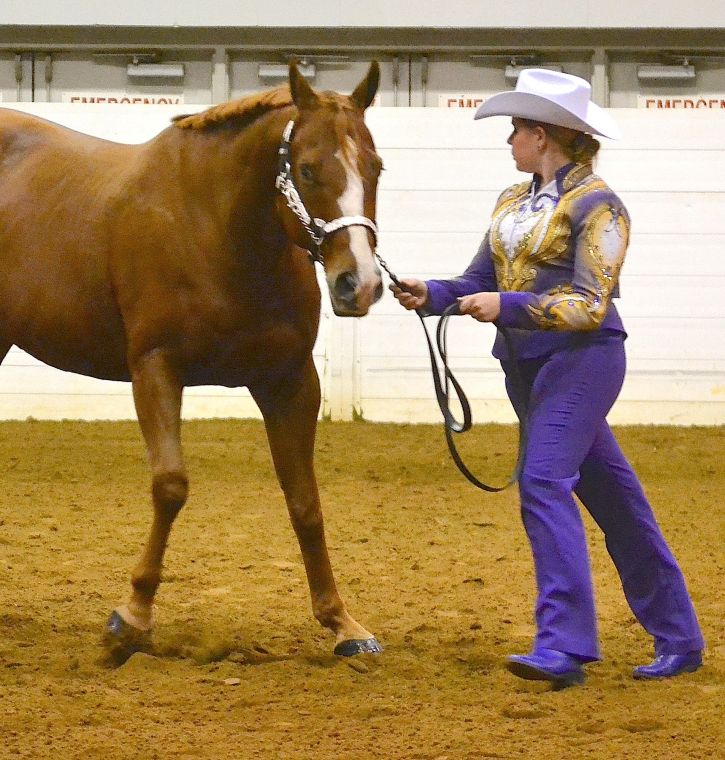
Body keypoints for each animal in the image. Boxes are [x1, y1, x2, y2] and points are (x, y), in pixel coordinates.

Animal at [0, 62, 384, 659]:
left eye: (376, 167)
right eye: (307, 169)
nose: (358, 284)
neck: (216, 230)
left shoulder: (291, 380)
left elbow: (304, 499)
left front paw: (342, 622)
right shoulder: (156, 369)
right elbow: (171, 485)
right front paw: (131, 617)